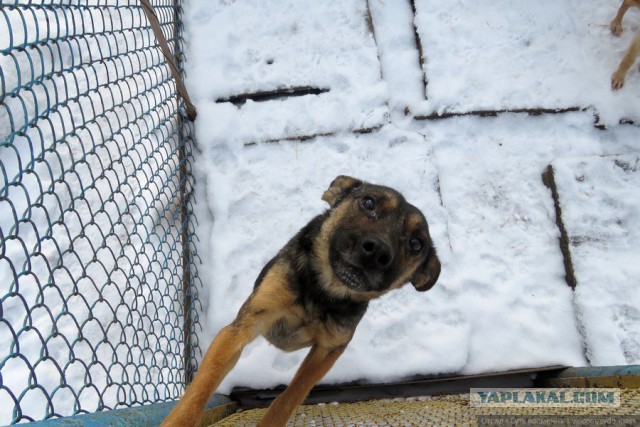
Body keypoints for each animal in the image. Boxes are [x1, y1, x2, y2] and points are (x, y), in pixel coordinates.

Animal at [161, 176, 440, 426]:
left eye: (416, 244)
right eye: (368, 202)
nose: (377, 251)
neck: (322, 293)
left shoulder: (328, 350)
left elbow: (289, 397)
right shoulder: (240, 329)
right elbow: (201, 389)